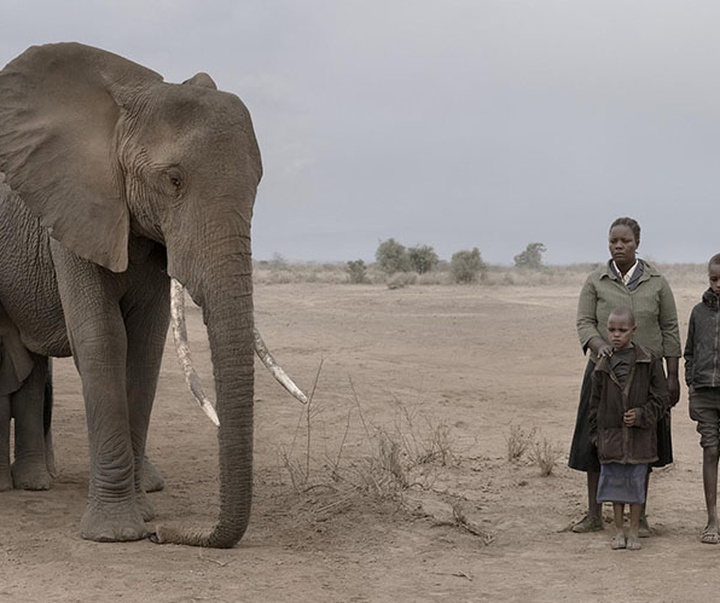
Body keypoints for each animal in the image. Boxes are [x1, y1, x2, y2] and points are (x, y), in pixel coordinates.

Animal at [0, 42, 264, 548]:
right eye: (174, 181)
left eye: (257, 185)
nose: (166, 534)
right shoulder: (73, 207)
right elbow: (103, 340)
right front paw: (117, 533)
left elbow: (144, 347)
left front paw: (143, 514)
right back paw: (33, 485)